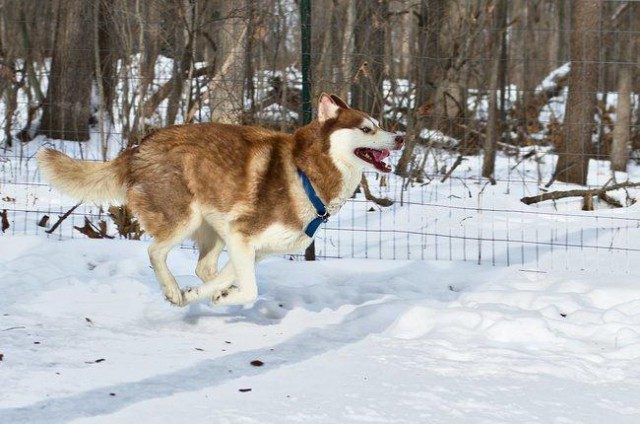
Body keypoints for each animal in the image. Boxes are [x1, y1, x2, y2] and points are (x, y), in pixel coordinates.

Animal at [37, 93, 404, 304]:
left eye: (380, 124)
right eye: (368, 129)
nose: (401, 136)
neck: (308, 174)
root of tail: (139, 146)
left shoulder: (251, 247)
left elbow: (233, 278)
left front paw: (211, 293)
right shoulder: (242, 236)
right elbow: (250, 290)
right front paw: (216, 297)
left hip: (214, 228)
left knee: (204, 267)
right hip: (185, 218)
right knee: (155, 252)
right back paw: (173, 290)